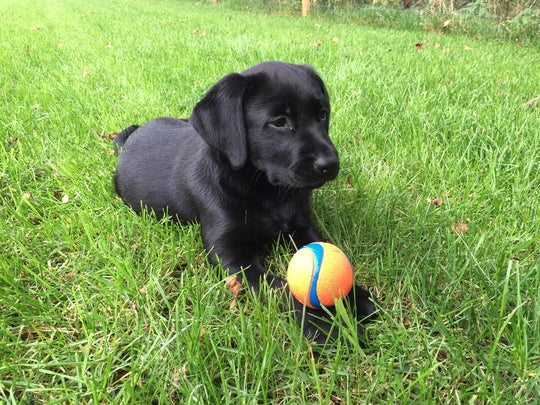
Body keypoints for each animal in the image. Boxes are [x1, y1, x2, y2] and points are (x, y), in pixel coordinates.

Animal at [114, 60, 376, 344]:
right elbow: (278, 287)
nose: (330, 164)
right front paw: (326, 327)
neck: (267, 192)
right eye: (280, 122)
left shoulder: (302, 225)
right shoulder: (230, 253)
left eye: (322, 114)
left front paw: (355, 297)